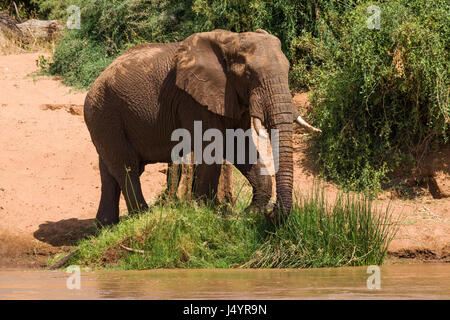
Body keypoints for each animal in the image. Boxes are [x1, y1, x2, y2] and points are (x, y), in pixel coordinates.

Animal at [81, 28, 320, 226]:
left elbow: (239, 147)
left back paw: (106, 225)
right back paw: (142, 216)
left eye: (288, 71)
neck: (231, 40)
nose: (272, 212)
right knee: (127, 166)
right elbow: (213, 148)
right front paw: (205, 211)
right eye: (249, 75)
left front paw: (251, 212)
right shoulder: (193, 99)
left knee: (110, 170)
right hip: (104, 115)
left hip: (104, 118)